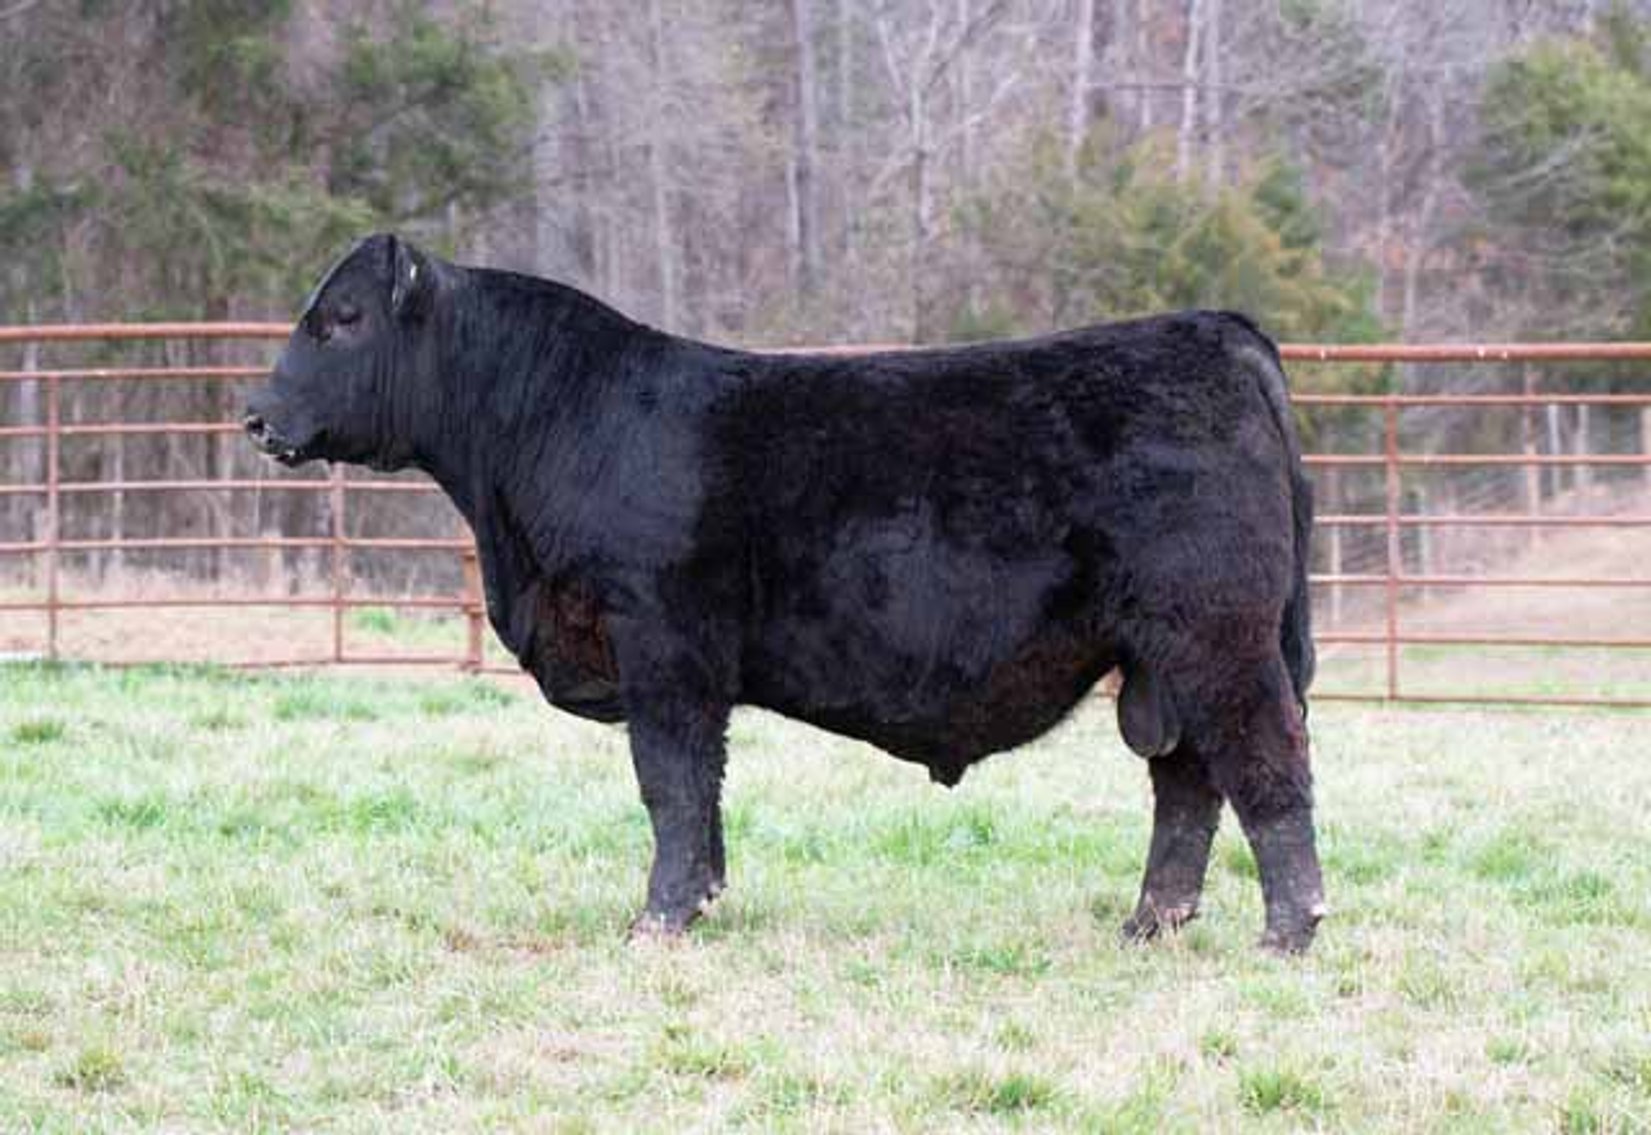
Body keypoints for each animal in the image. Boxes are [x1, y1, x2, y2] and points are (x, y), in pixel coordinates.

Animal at [244, 233, 1327, 952]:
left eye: (341, 319)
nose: (255, 414)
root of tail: (1216, 333)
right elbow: (703, 788)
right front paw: (703, 900)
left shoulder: (662, 644)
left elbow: (671, 781)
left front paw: (658, 918)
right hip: (1161, 651)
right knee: (1185, 779)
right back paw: (1149, 923)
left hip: (1217, 634)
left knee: (1262, 760)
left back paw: (1286, 930)